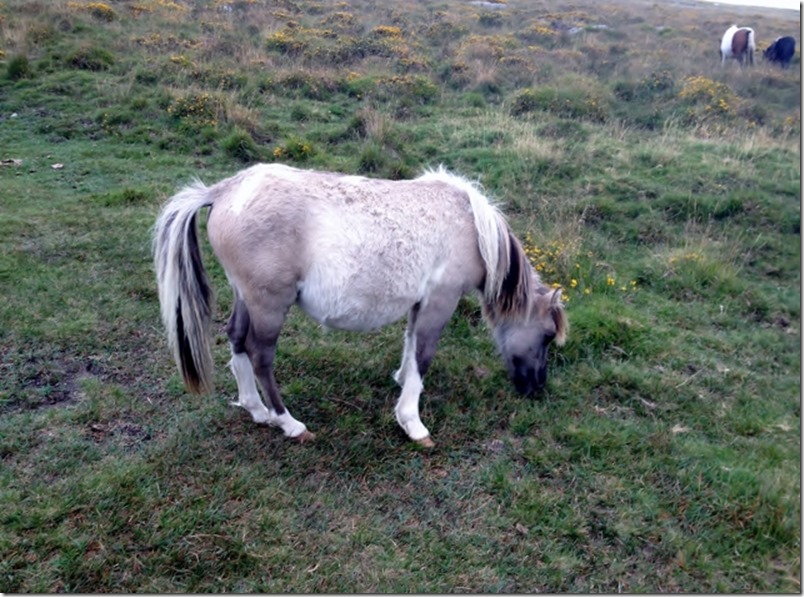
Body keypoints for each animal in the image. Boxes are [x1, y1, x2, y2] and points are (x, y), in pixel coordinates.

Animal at [151, 163, 564, 448]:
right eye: (546, 335)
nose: (537, 388)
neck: (471, 226)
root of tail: (226, 191)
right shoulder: (439, 301)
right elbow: (424, 355)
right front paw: (412, 422)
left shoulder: (419, 303)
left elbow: (410, 344)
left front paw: (401, 381)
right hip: (269, 305)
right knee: (260, 356)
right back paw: (289, 424)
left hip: (246, 298)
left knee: (236, 339)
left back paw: (255, 409)